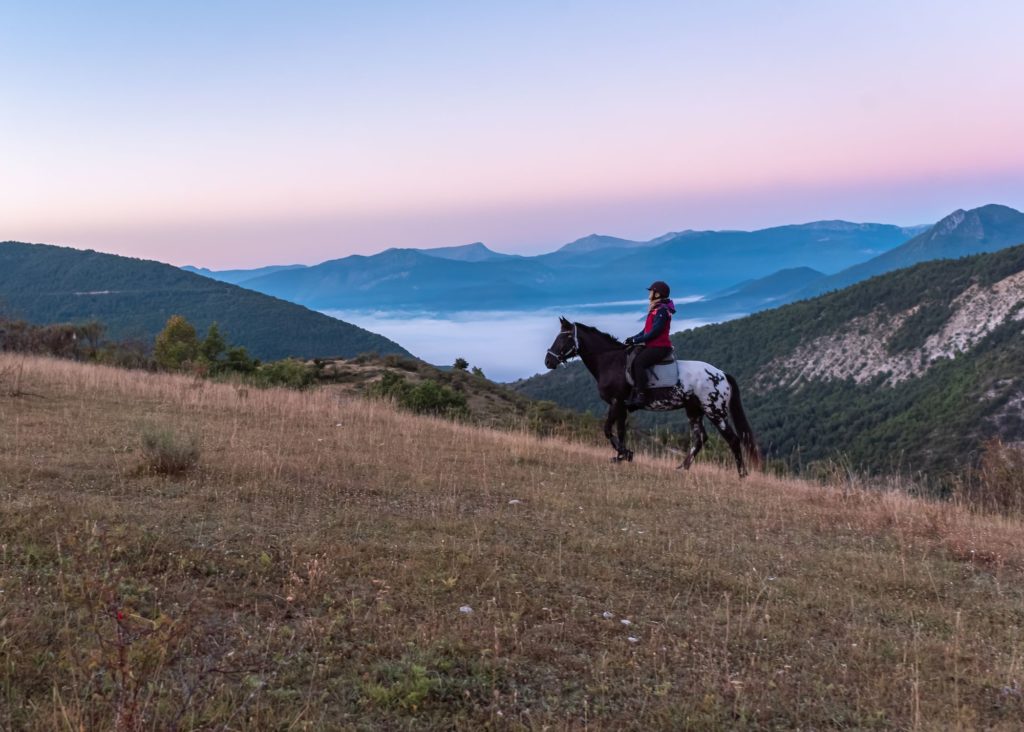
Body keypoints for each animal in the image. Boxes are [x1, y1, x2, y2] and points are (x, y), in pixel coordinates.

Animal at [544, 317, 761, 479]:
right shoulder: (620, 406)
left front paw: (625, 454)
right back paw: (682, 468)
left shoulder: (616, 403)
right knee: (699, 439)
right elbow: (620, 431)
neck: (612, 361)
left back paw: (742, 475)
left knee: (733, 440)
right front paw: (622, 456)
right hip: (694, 410)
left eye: (564, 338)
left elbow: (607, 430)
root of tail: (722, 374)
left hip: (714, 410)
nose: (548, 361)